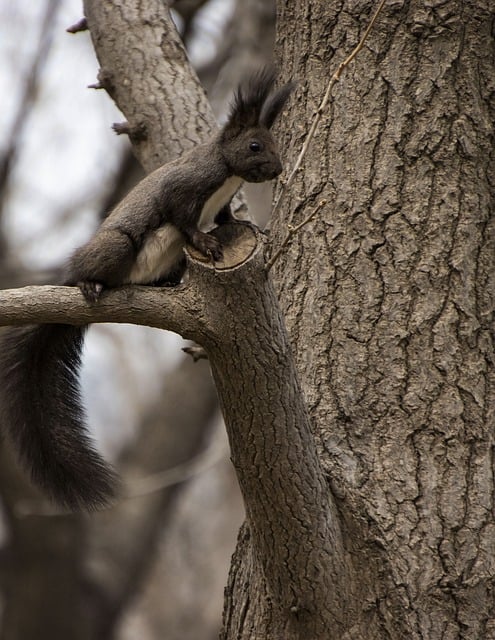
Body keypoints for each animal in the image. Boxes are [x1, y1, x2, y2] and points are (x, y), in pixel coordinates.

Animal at [0, 69, 294, 510]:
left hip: (167, 262)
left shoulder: (221, 204)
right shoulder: (185, 188)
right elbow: (182, 219)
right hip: (116, 247)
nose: (276, 169)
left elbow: (226, 217)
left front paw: (250, 227)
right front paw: (206, 241)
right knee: (93, 268)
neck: (227, 173)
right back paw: (88, 282)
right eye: (255, 145)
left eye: (272, 143)